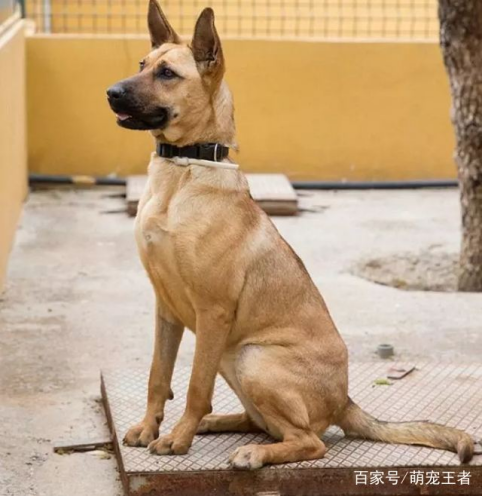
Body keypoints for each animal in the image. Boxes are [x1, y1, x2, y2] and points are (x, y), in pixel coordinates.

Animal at [107, 0, 475, 470]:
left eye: (167, 74)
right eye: (142, 65)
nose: (111, 93)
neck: (183, 172)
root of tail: (344, 400)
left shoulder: (213, 311)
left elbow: (194, 386)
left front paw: (177, 439)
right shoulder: (166, 308)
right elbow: (159, 375)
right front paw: (149, 427)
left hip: (252, 357)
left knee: (309, 441)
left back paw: (251, 452)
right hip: (232, 356)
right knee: (261, 421)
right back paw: (219, 424)